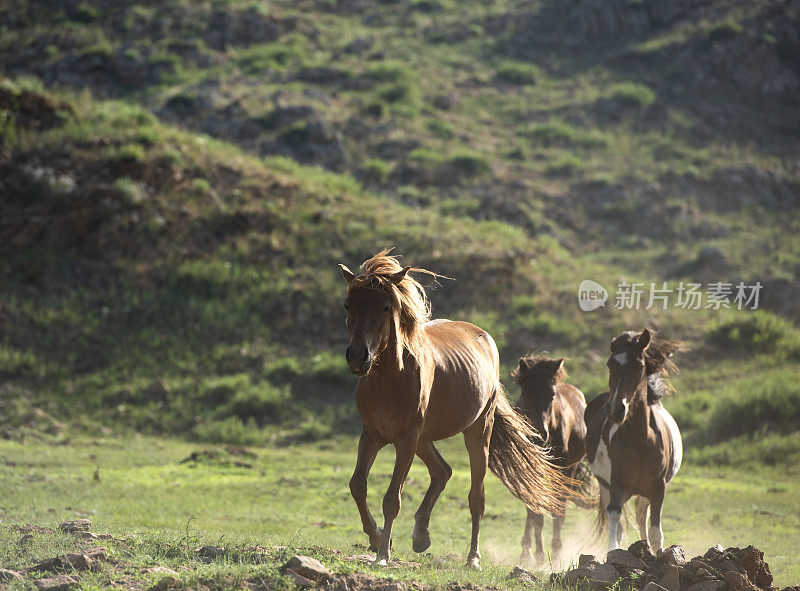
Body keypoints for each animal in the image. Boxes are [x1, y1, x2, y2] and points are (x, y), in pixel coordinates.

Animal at [338, 252, 576, 572]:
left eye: (386, 307)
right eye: (348, 305)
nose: (357, 357)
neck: (391, 377)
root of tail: (483, 335)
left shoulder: (405, 440)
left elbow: (392, 499)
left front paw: (383, 555)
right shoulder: (372, 434)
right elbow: (358, 485)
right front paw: (376, 538)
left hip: (474, 432)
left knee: (476, 497)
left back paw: (472, 558)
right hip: (423, 439)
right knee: (442, 471)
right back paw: (421, 536)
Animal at [512, 354, 588, 568]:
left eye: (552, 395)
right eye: (525, 392)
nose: (538, 435)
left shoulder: (564, 469)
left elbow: (558, 509)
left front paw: (554, 553)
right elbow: (535, 512)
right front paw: (535, 554)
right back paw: (527, 550)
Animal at [584, 330, 684, 552]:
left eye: (639, 365)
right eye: (610, 364)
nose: (616, 409)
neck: (639, 441)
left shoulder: (658, 487)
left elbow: (655, 533)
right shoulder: (617, 485)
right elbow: (615, 523)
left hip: (643, 492)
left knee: (641, 517)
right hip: (605, 486)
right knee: (621, 523)